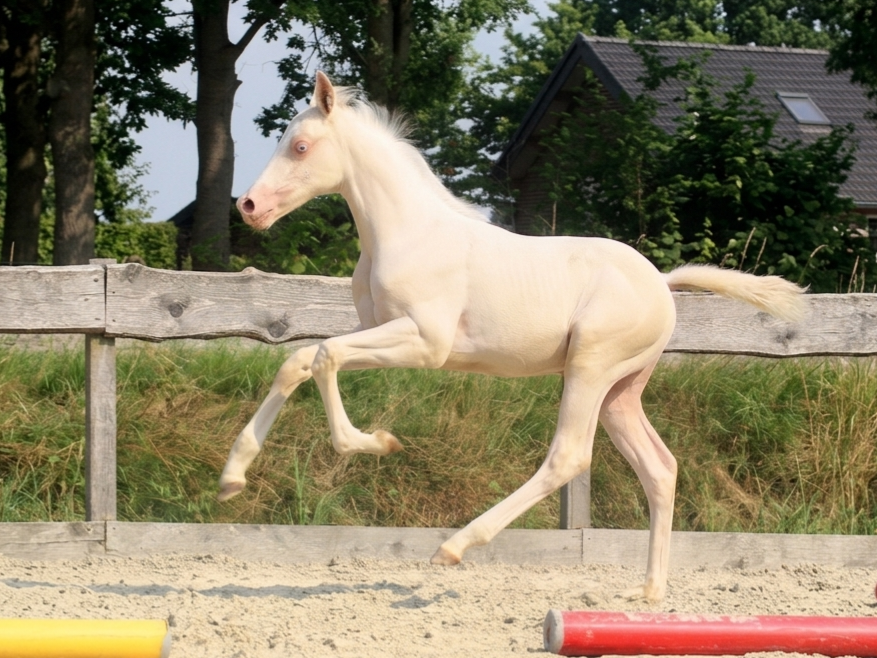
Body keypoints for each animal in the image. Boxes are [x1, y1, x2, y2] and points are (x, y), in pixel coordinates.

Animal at [219, 71, 806, 602]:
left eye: (300, 146)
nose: (248, 206)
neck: (409, 234)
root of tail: (662, 282)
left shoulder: (425, 342)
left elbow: (324, 357)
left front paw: (376, 442)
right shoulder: (377, 330)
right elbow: (299, 360)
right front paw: (232, 477)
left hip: (590, 368)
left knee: (569, 456)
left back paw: (455, 546)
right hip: (621, 391)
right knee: (660, 468)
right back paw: (649, 591)